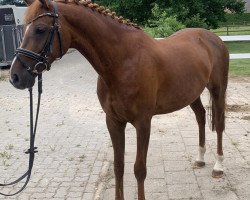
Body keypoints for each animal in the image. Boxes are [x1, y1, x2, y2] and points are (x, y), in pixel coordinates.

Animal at [9, 0, 229, 199]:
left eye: (39, 29)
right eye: (24, 29)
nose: (15, 76)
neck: (123, 62)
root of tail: (212, 37)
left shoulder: (143, 123)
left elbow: (139, 169)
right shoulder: (113, 122)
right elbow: (118, 167)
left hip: (218, 90)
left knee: (218, 124)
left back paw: (218, 166)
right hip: (192, 93)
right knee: (201, 117)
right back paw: (200, 159)